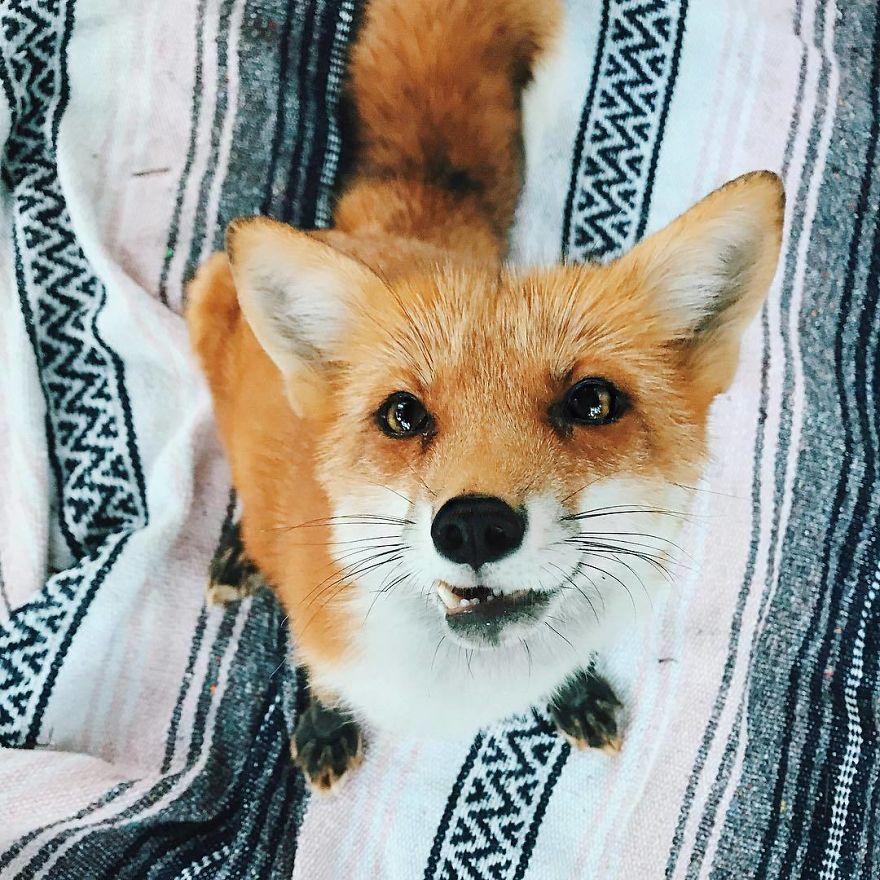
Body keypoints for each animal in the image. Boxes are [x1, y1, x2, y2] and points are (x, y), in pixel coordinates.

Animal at [187, 0, 784, 791]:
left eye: (592, 403)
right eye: (402, 415)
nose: (472, 527)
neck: (470, 683)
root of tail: (391, 227)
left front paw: (574, 694)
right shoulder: (321, 631)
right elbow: (319, 677)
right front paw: (321, 720)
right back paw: (240, 552)